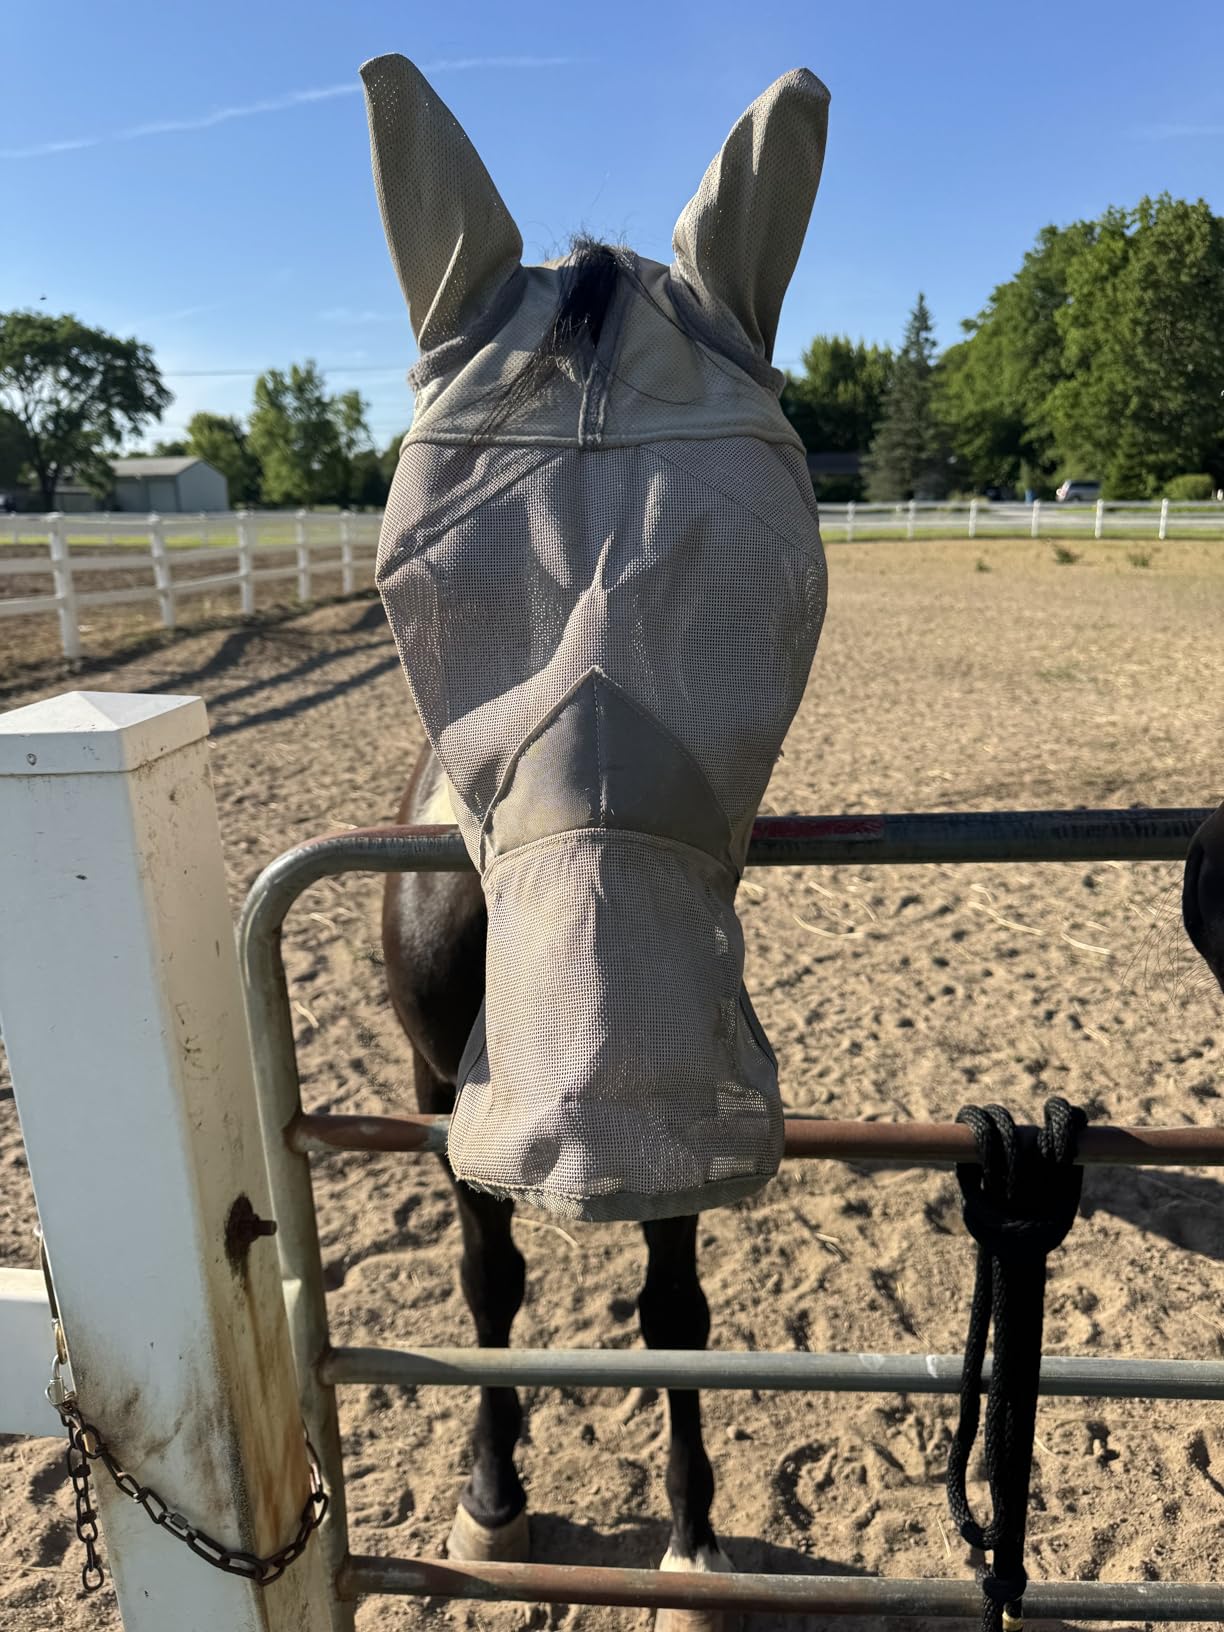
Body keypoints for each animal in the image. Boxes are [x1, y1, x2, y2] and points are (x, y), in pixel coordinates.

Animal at [362, 49, 831, 1632]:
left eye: (778, 575)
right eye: (417, 585)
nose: (601, 1108)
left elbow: (675, 1309)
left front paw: (693, 1540)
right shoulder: (443, 1091)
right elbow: (487, 1283)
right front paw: (495, 1500)